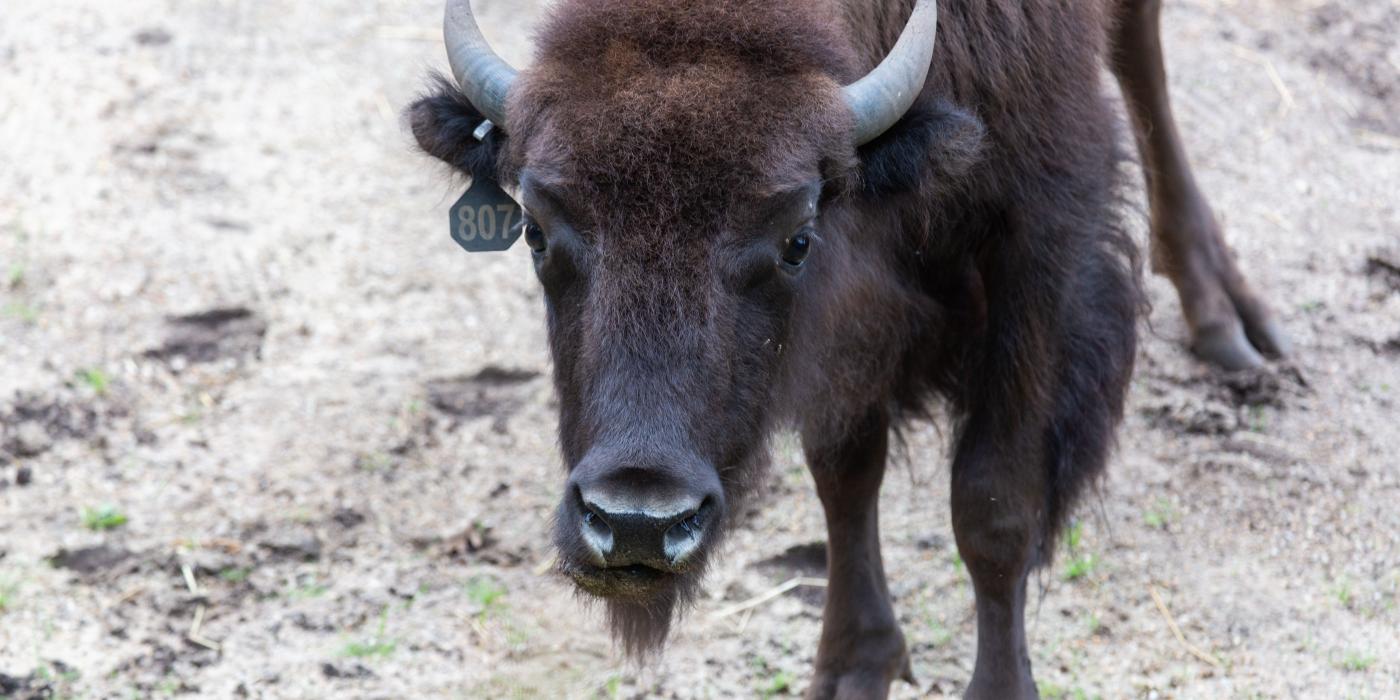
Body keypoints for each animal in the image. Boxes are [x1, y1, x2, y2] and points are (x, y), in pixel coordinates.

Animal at [408, 0, 1288, 694]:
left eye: (796, 238)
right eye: (534, 228)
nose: (635, 523)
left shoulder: (1038, 237)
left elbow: (993, 505)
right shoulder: (845, 338)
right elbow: (845, 474)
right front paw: (854, 666)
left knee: (1140, 39)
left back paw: (1227, 316)